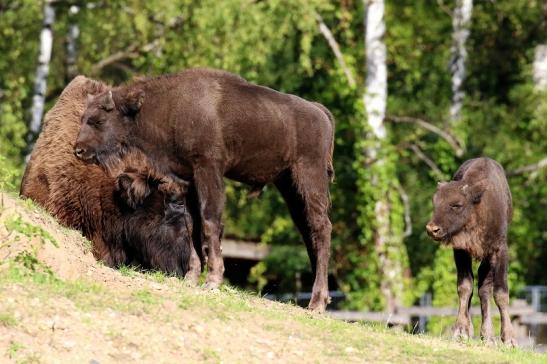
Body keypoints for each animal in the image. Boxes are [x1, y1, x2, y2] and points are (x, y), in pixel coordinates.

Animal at [75, 67, 336, 310]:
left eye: (98, 120)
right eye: (83, 119)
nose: (78, 149)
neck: (167, 106)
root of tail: (320, 112)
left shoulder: (208, 169)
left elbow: (210, 222)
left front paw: (212, 280)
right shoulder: (188, 178)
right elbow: (192, 225)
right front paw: (191, 277)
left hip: (309, 177)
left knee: (322, 228)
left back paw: (317, 303)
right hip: (288, 186)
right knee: (309, 232)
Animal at [426, 158, 516, 346]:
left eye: (456, 204)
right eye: (434, 202)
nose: (432, 229)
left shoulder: (499, 250)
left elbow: (500, 293)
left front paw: (510, 339)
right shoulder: (460, 251)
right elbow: (465, 286)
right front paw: (461, 330)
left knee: (484, 289)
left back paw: (487, 335)